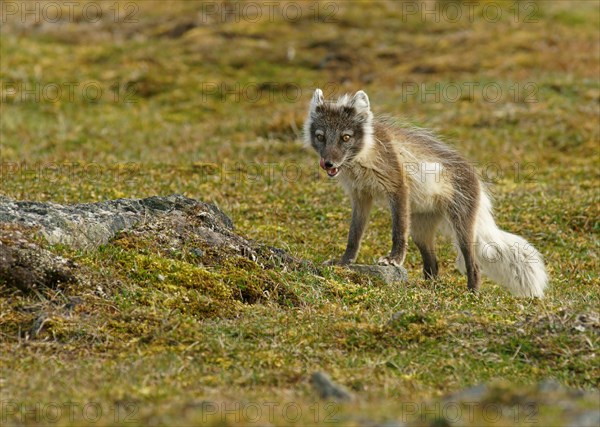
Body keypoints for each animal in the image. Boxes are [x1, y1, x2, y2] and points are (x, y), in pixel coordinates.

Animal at [304, 90, 548, 298]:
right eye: (321, 137)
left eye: (345, 137)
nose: (328, 164)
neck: (364, 155)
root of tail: (476, 178)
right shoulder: (361, 196)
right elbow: (354, 236)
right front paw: (344, 262)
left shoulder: (398, 188)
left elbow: (398, 231)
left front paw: (393, 260)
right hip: (420, 232)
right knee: (434, 264)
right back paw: (428, 289)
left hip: (461, 227)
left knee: (474, 265)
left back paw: (471, 295)